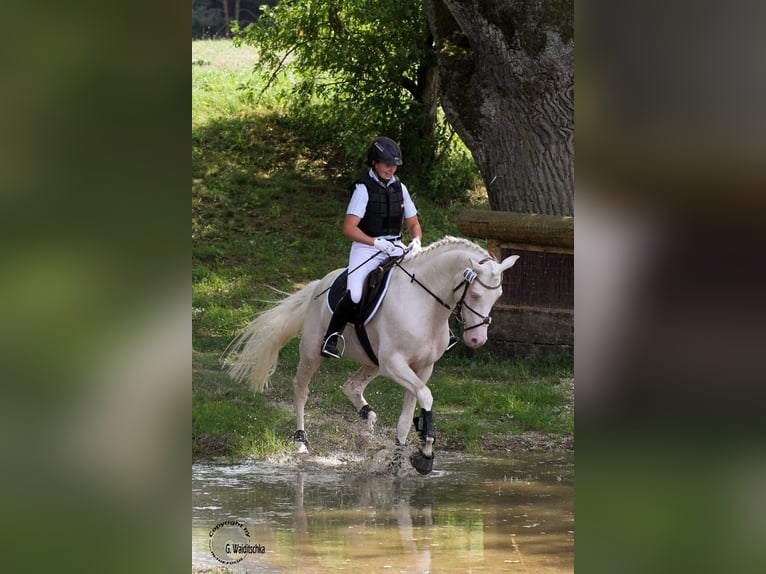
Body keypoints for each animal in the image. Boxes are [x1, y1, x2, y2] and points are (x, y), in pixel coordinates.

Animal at [225, 236, 520, 474]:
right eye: (476, 293)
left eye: (499, 295)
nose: (477, 340)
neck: (425, 303)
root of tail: (320, 284)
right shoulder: (394, 364)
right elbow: (426, 396)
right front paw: (425, 453)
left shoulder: (421, 368)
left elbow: (406, 418)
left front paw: (398, 462)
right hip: (312, 351)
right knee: (301, 389)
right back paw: (301, 442)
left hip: (373, 362)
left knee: (351, 386)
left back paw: (367, 424)